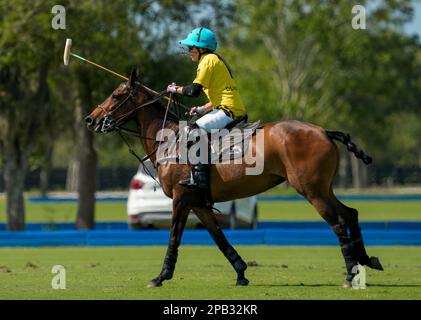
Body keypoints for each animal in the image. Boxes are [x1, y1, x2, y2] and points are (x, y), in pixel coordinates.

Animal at [84, 69, 380, 288]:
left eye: (116, 95)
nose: (90, 119)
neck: (167, 141)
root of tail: (324, 131)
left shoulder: (181, 198)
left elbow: (174, 237)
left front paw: (160, 277)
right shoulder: (198, 202)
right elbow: (219, 238)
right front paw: (241, 273)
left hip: (311, 190)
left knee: (338, 222)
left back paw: (350, 274)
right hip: (323, 188)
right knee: (351, 213)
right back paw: (367, 261)